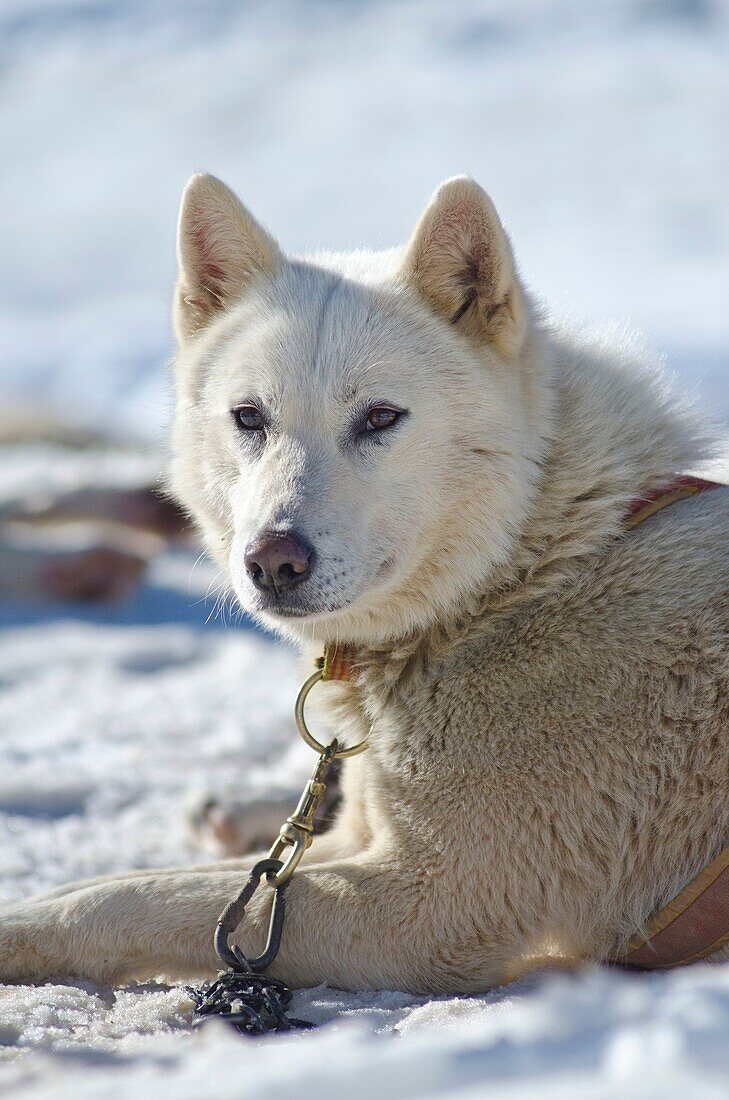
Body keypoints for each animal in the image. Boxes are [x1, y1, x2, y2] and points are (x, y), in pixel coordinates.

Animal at [1, 176, 729, 994]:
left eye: (380, 417)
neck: (527, 570)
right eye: (248, 417)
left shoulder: (421, 904)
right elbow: (142, 882)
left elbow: (136, 900)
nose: (273, 561)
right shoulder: (360, 843)